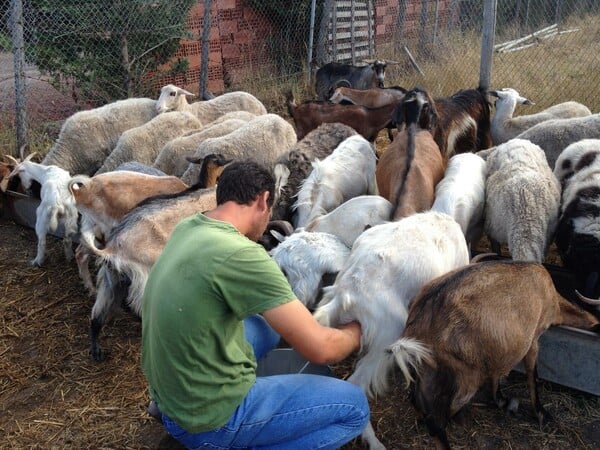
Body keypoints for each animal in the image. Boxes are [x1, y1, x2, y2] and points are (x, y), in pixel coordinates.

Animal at [386, 260, 600, 450]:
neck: (553, 299)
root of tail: (421, 321)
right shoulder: (533, 339)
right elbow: (532, 374)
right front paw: (540, 413)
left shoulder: (496, 350)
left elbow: (497, 373)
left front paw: (501, 399)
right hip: (465, 373)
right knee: (443, 415)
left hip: (428, 367)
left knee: (419, 401)